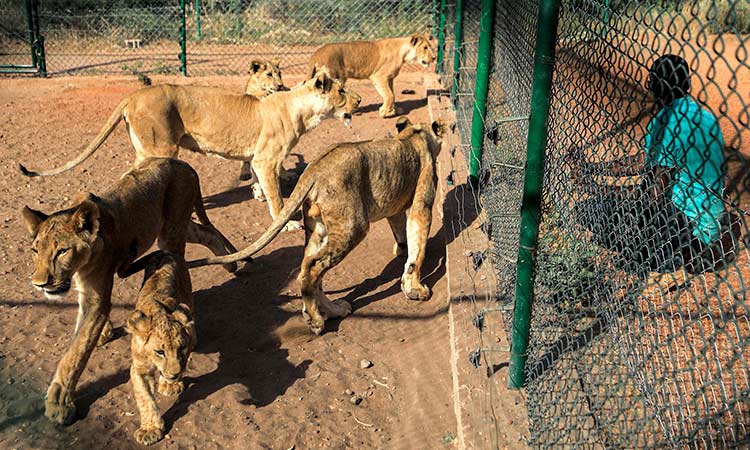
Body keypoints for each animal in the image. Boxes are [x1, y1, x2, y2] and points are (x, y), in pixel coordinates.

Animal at [19, 72, 362, 232]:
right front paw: (284, 221)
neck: (301, 109)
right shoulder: (267, 159)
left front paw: (256, 194)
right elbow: (278, 198)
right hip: (159, 147)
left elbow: (257, 181)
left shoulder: (257, 159)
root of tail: (133, 95)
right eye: (341, 90)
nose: (359, 101)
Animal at [123, 251, 195, 444]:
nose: (175, 374)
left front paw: (171, 384)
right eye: (159, 352)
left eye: (181, 348)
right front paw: (150, 429)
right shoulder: (139, 368)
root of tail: (165, 252)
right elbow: (144, 397)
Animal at [188, 118, 446, 336]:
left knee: (308, 268)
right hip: (353, 227)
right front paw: (415, 288)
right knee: (313, 269)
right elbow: (418, 249)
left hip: (319, 228)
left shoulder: (395, 206)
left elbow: (401, 230)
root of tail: (313, 169)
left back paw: (331, 311)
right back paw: (316, 320)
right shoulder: (421, 204)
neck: (414, 134)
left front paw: (401, 249)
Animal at [310, 33, 438, 118]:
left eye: (430, 46)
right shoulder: (379, 77)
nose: (434, 58)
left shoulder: (389, 78)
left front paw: (393, 110)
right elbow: (389, 95)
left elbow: (392, 94)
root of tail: (315, 55)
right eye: (425, 47)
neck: (403, 53)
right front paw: (385, 112)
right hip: (335, 78)